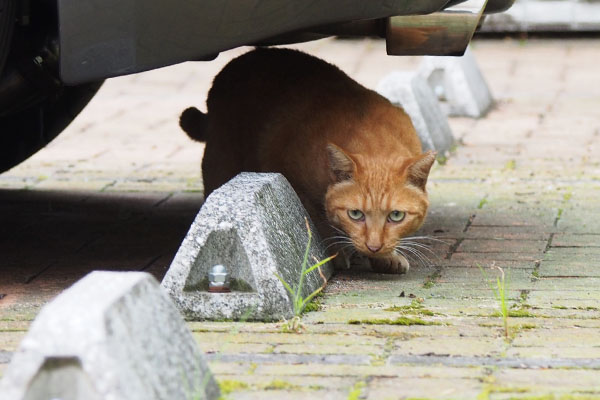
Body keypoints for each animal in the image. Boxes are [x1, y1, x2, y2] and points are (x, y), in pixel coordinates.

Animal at [180, 46, 434, 272]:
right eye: (355, 214)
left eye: (396, 216)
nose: (374, 247)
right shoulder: (292, 179)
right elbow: (318, 219)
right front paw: (336, 252)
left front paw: (385, 257)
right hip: (220, 161)